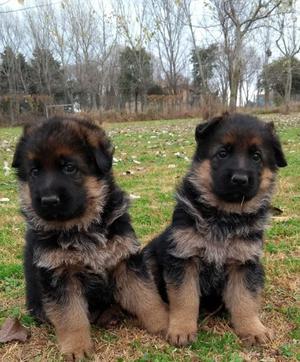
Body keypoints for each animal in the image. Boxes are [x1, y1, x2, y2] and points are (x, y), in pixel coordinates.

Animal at [12, 118, 147, 360]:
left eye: (69, 168)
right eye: (35, 172)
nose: (48, 200)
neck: (82, 227)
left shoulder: (124, 259)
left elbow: (147, 298)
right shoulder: (60, 274)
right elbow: (70, 316)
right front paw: (76, 349)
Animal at [126, 112, 286, 346]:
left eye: (256, 157)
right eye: (222, 153)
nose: (240, 179)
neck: (224, 217)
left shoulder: (244, 263)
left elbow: (245, 300)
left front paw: (253, 329)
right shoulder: (184, 259)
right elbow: (185, 299)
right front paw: (181, 330)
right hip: (150, 259)